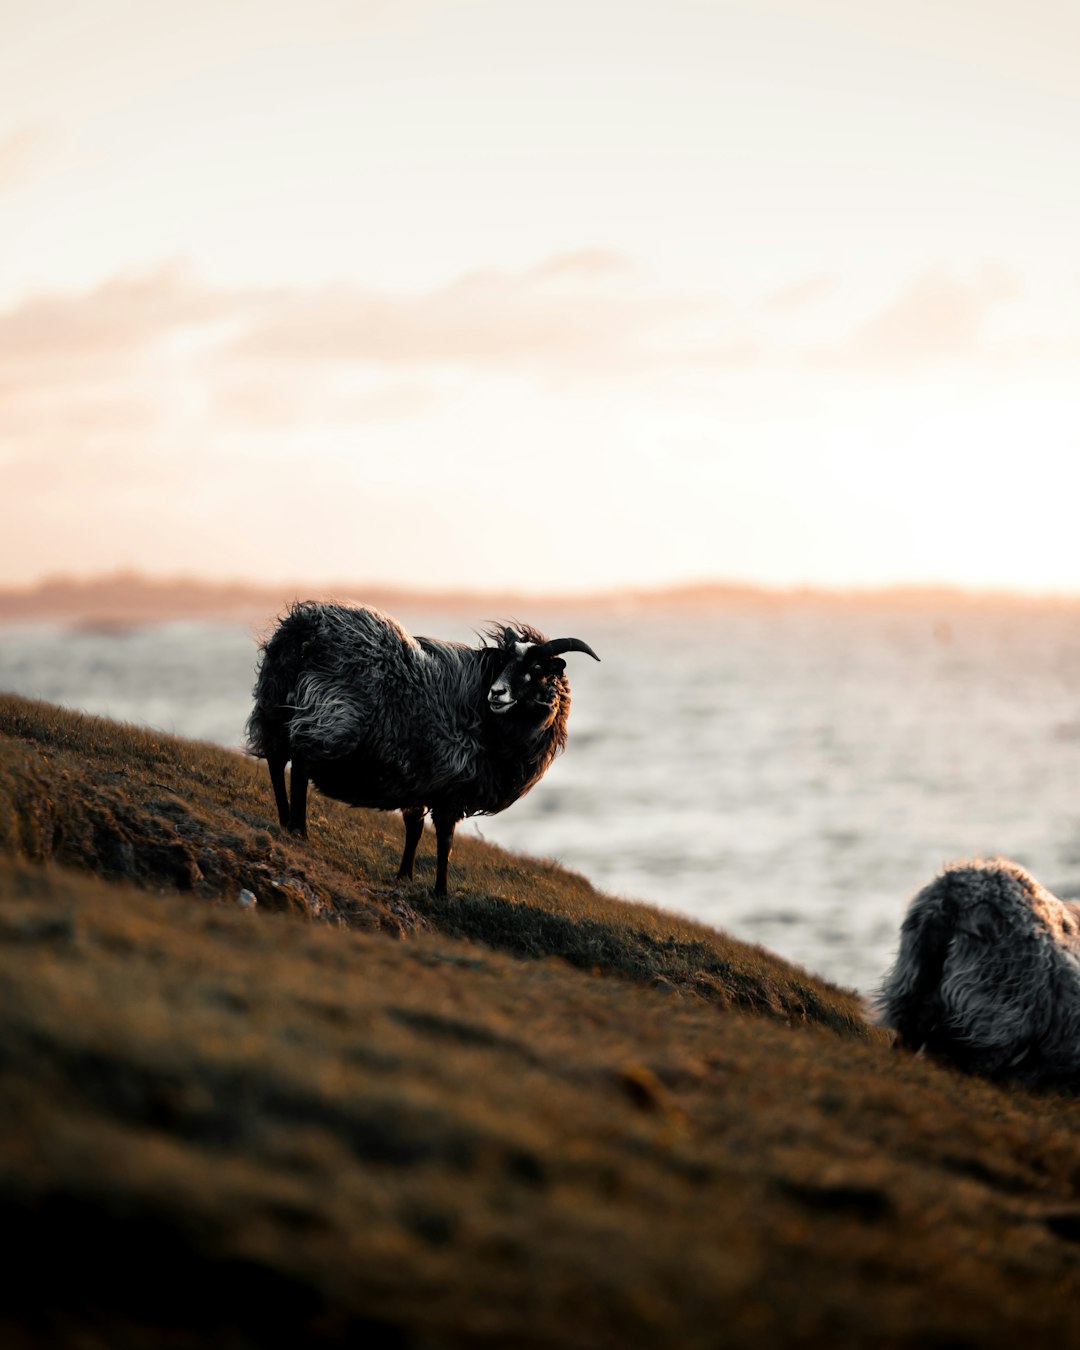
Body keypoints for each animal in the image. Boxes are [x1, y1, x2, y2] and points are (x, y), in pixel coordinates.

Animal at [245, 602, 599, 896]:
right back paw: (299, 829)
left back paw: (283, 820)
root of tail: (304, 627)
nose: (497, 693)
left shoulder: (415, 776)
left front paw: (405, 876)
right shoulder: (451, 786)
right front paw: (441, 892)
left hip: (275, 705)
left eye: (538, 669)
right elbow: (445, 841)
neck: (482, 713)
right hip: (330, 717)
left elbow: (413, 828)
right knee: (300, 766)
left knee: (276, 760)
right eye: (503, 662)